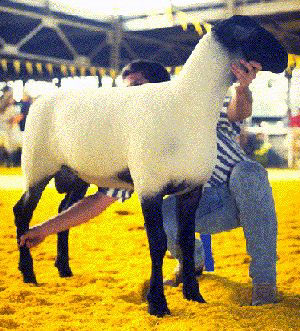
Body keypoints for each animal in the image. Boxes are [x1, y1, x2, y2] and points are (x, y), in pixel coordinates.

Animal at [12, 16, 288, 320]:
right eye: (253, 32)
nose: (286, 59)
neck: (188, 105)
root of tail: (42, 100)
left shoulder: (192, 188)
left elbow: (186, 240)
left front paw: (194, 295)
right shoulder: (150, 186)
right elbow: (157, 243)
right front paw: (157, 304)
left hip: (78, 172)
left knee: (63, 210)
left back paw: (63, 268)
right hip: (37, 167)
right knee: (22, 212)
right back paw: (28, 274)